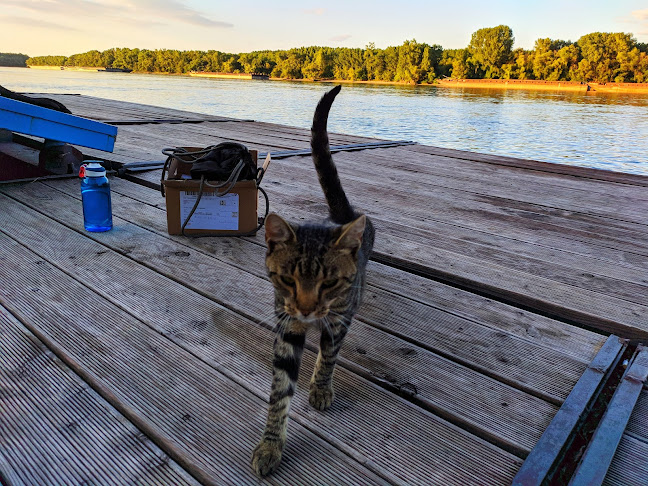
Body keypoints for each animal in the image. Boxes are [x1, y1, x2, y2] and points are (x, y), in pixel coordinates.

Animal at [252, 85, 374, 476]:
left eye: (330, 283)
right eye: (287, 280)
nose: (306, 309)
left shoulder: (339, 317)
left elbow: (329, 355)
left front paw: (321, 386)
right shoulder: (287, 324)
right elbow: (279, 391)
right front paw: (270, 445)